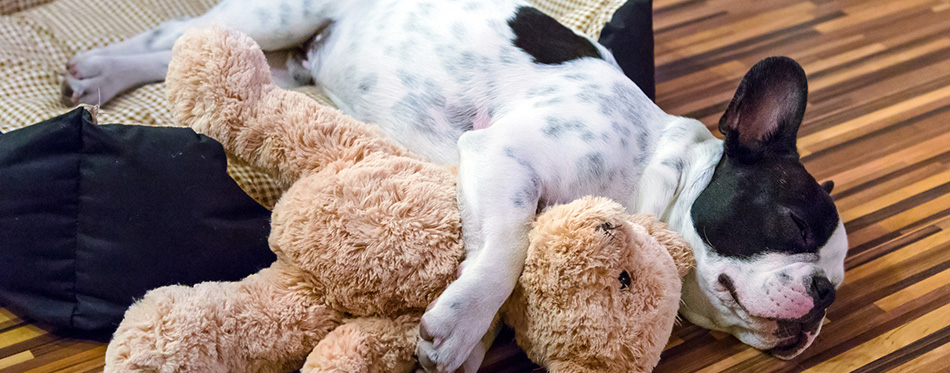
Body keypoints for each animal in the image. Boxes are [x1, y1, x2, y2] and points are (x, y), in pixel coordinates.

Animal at [63, 0, 852, 370]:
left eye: (836, 284)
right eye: (793, 223)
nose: (821, 299)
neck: (652, 165)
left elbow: (491, 249)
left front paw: (468, 337)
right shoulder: (504, 153)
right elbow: (508, 245)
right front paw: (464, 321)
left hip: (289, 62)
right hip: (277, 13)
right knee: (173, 35)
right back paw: (97, 73)